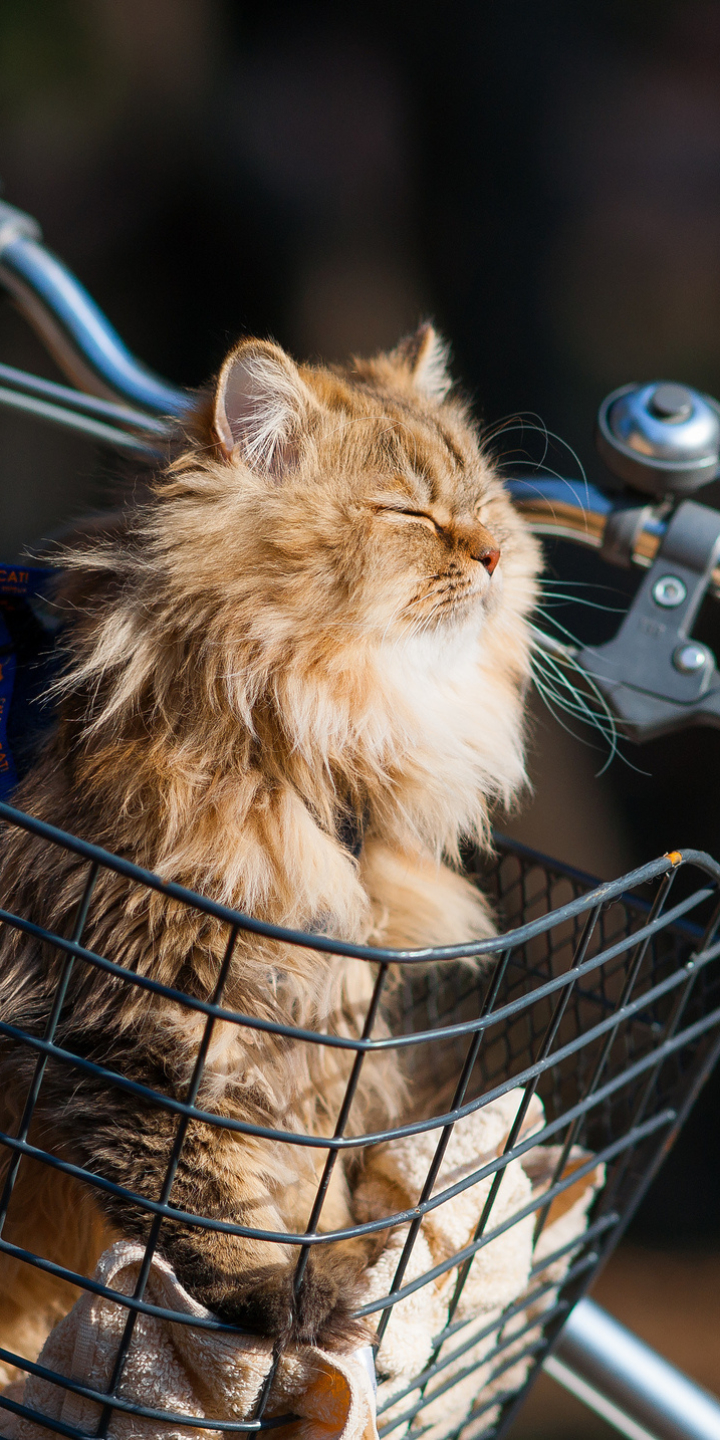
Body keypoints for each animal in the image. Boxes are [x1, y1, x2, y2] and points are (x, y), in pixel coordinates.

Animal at [0, 321, 541, 1376]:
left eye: (481, 506)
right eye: (409, 512)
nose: (497, 553)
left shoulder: (315, 1033)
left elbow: (306, 1189)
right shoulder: (130, 1010)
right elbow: (208, 1196)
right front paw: (298, 1315)